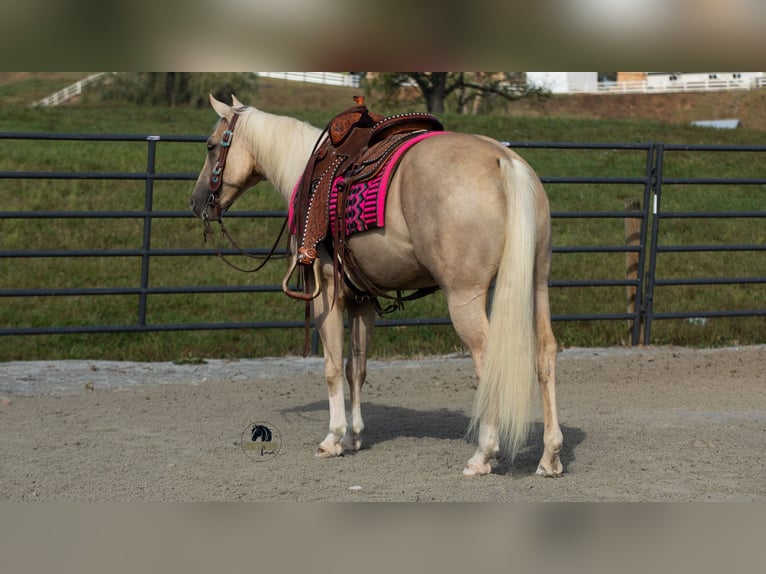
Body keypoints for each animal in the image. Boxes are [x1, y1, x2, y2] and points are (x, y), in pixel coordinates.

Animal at [189, 95, 563, 477]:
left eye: (210, 146)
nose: (197, 201)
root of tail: (504, 161)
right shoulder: (363, 300)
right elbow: (357, 367)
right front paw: (355, 436)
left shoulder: (328, 294)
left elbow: (333, 367)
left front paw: (333, 438)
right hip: (536, 285)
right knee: (545, 353)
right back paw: (550, 456)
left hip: (465, 297)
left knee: (489, 361)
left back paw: (483, 454)